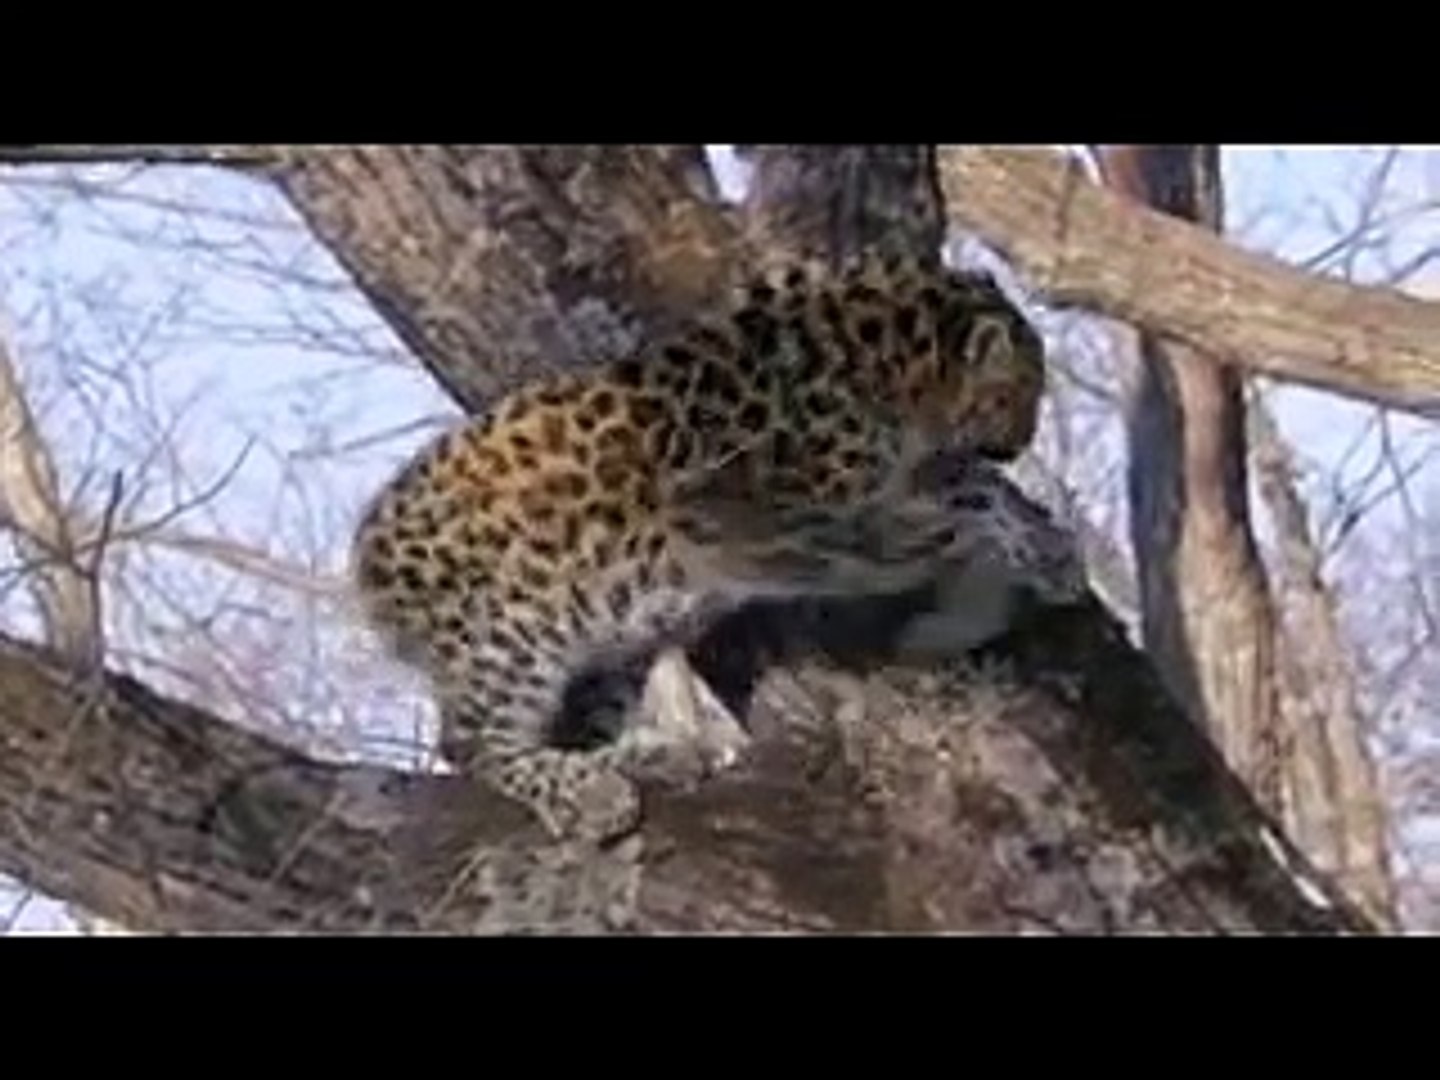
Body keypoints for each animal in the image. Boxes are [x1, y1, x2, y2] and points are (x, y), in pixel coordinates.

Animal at [351, 253, 1052, 841]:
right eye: (1024, 390)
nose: (1023, 441)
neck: (886, 370)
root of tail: (364, 562)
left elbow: (972, 487)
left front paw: (1046, 542)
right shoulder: (775, 523)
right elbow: (934, 531)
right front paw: (990, 577)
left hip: (611, 635)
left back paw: (662, 753)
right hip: (512, 637)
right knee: (472, 744)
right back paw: (593, 796)